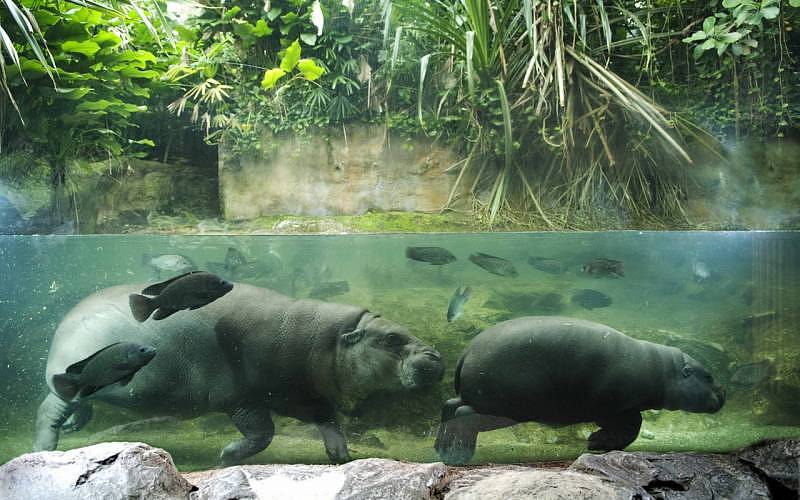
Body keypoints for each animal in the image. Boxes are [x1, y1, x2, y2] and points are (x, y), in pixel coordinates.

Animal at [34, 283, 444, 464]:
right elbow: (263, 433)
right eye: (391, 338)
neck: (327, 341)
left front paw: (341, 456)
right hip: (64, 380)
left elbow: (329, 420)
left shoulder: (300, 395)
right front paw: (226, 456)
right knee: (49, 408)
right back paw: (44, 447)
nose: (437, 356)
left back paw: (76, 424)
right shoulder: (244, 397)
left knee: (76, 404)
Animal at [434, 316, 725, 464]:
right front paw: (596, 442)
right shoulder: (619, 408)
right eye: (709, 376)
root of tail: (468, 350)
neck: (665, 371)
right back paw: (456, 453)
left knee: (449, 406)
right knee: (461, 415)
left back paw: (441, 449)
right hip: (504, 409)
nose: (723, 393)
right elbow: (633, 426)